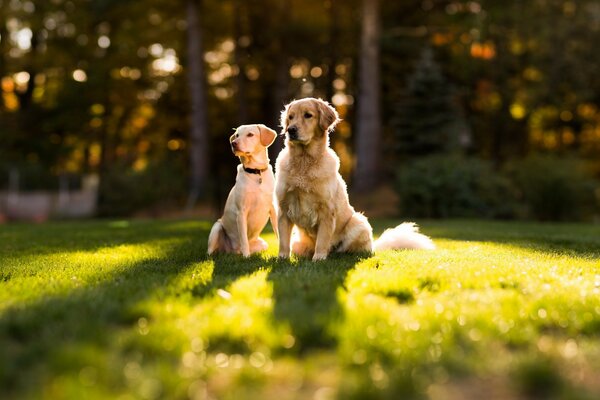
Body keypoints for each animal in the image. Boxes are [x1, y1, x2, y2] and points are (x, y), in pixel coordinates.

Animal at [207, 123, 278, 258]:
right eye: (237, 135)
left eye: (250, 134)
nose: (233, 143)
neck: (256, 172)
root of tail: (233, 252)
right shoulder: (241, 212)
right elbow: (244, 239)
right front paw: (246, 258)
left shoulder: (274, 209)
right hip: (217, 227)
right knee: (209, 253)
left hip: (263, 244)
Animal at [274, 96, 434, 260]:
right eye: (290, 117)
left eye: (308, 115)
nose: (290, 130)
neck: (304, 161)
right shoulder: (283, 209)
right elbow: (283, 241)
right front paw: (282, 259)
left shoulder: (327, 211)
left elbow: (322, 240)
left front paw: (319, 258)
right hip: (298, 243)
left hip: (359, 222)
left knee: (345, 250)